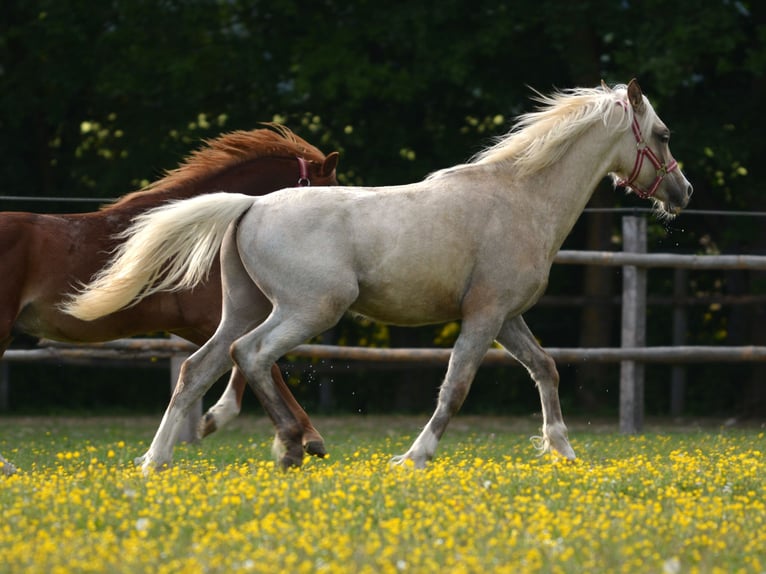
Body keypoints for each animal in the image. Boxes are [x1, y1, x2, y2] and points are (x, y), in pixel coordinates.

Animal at [64, 80, 693, 473]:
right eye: (663, 134)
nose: (683, 192)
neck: (521, 198)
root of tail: (249, 205)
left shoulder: (506, 317)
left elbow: (546, 369)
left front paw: (563, 452)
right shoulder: (484, 316)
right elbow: (456, 387)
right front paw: (413, 458)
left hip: (244, 308)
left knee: (199, 368)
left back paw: (157, 461)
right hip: (309, 310)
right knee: (253, 355)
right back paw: (291, 447)